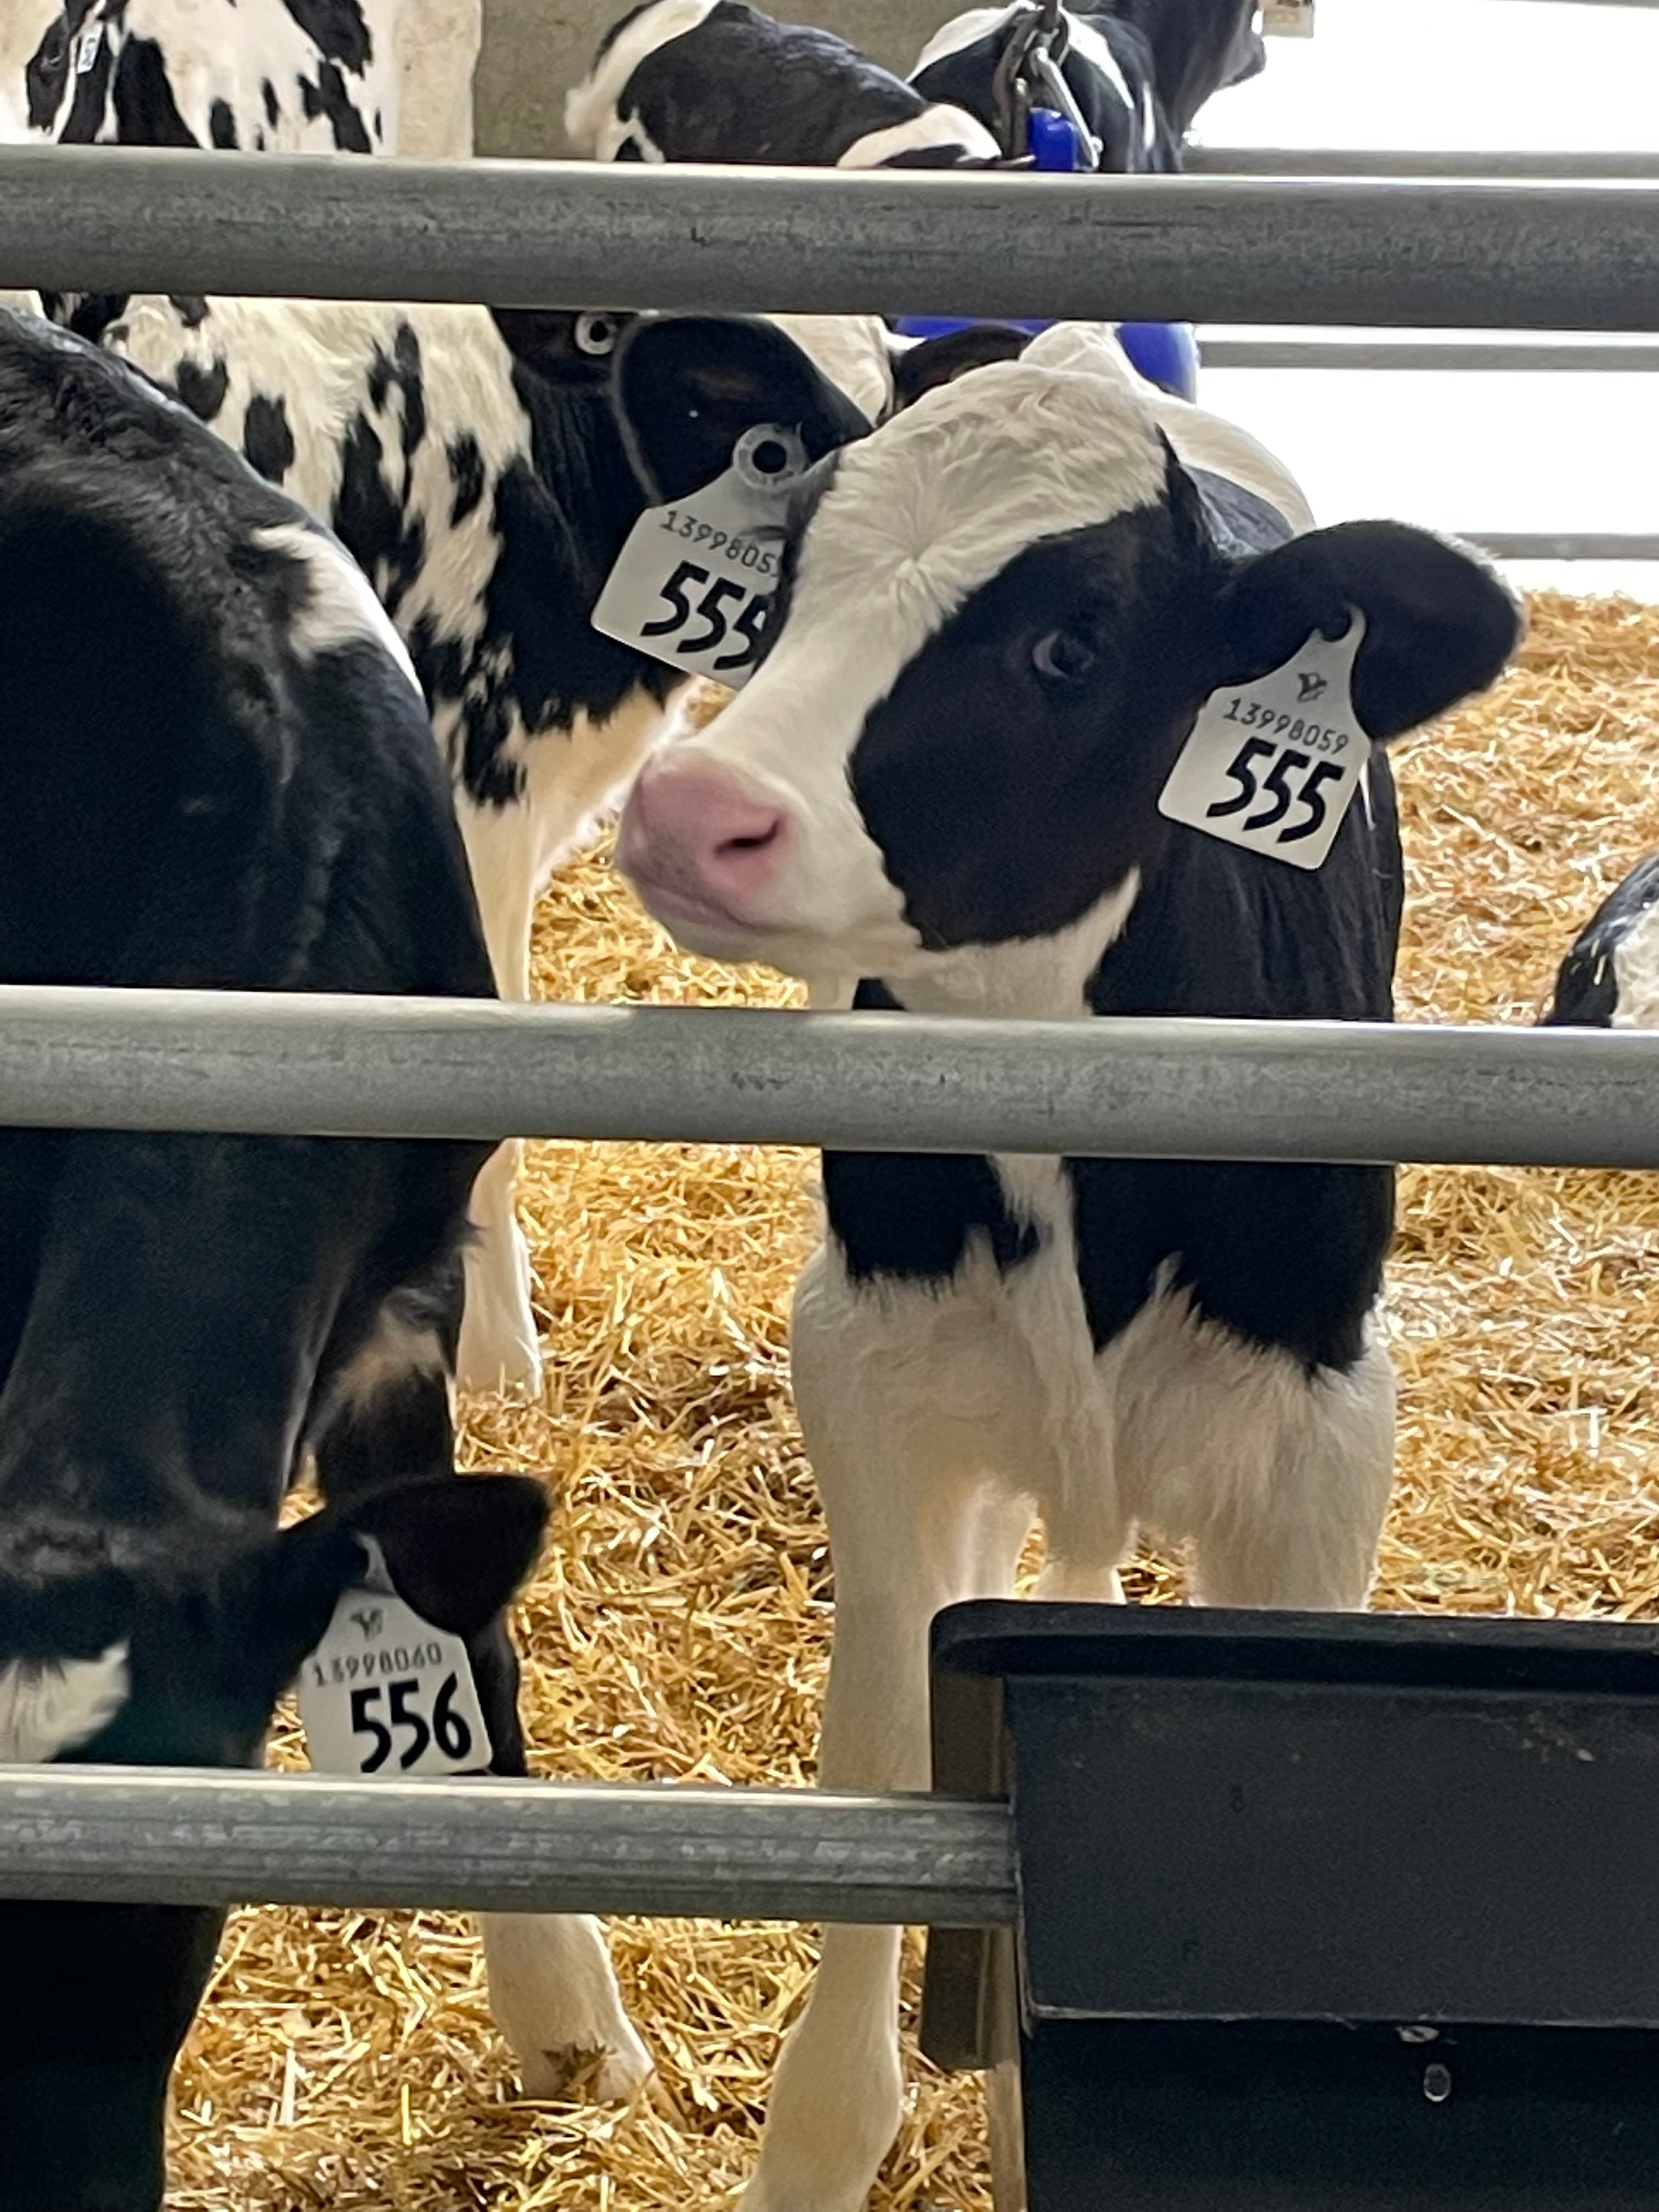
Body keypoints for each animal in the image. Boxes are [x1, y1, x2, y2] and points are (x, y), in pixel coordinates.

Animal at [607, 312, 1523, 2212]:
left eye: (1066, 646)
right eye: (788, 568)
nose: (694, 807)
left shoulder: (1325, 1438)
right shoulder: (873, 1372)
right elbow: (884, 1756)